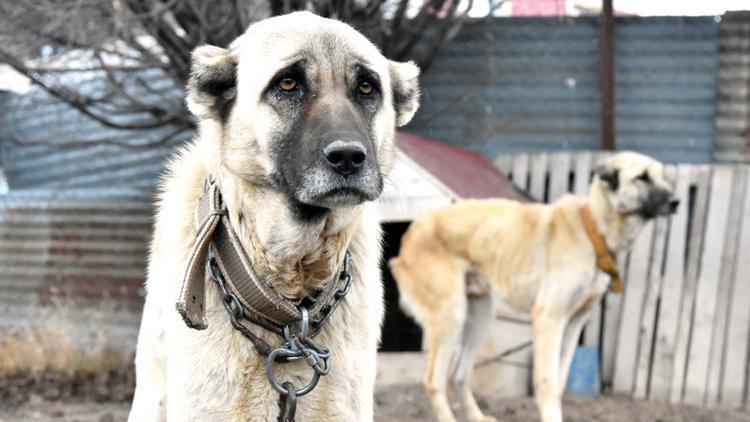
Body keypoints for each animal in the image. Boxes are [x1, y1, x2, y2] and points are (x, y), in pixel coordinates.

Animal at [394, 152, 680, 422]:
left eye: (663, 176)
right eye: (642, 177)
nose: (677, 202)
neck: (592, 230)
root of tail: (413, 230)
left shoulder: (573, 324)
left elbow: (560, 383)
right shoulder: (548, 318)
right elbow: (548, 385)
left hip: (480, 318)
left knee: (459, 375)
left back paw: (477, 416)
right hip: (451, 316)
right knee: (434, 381)